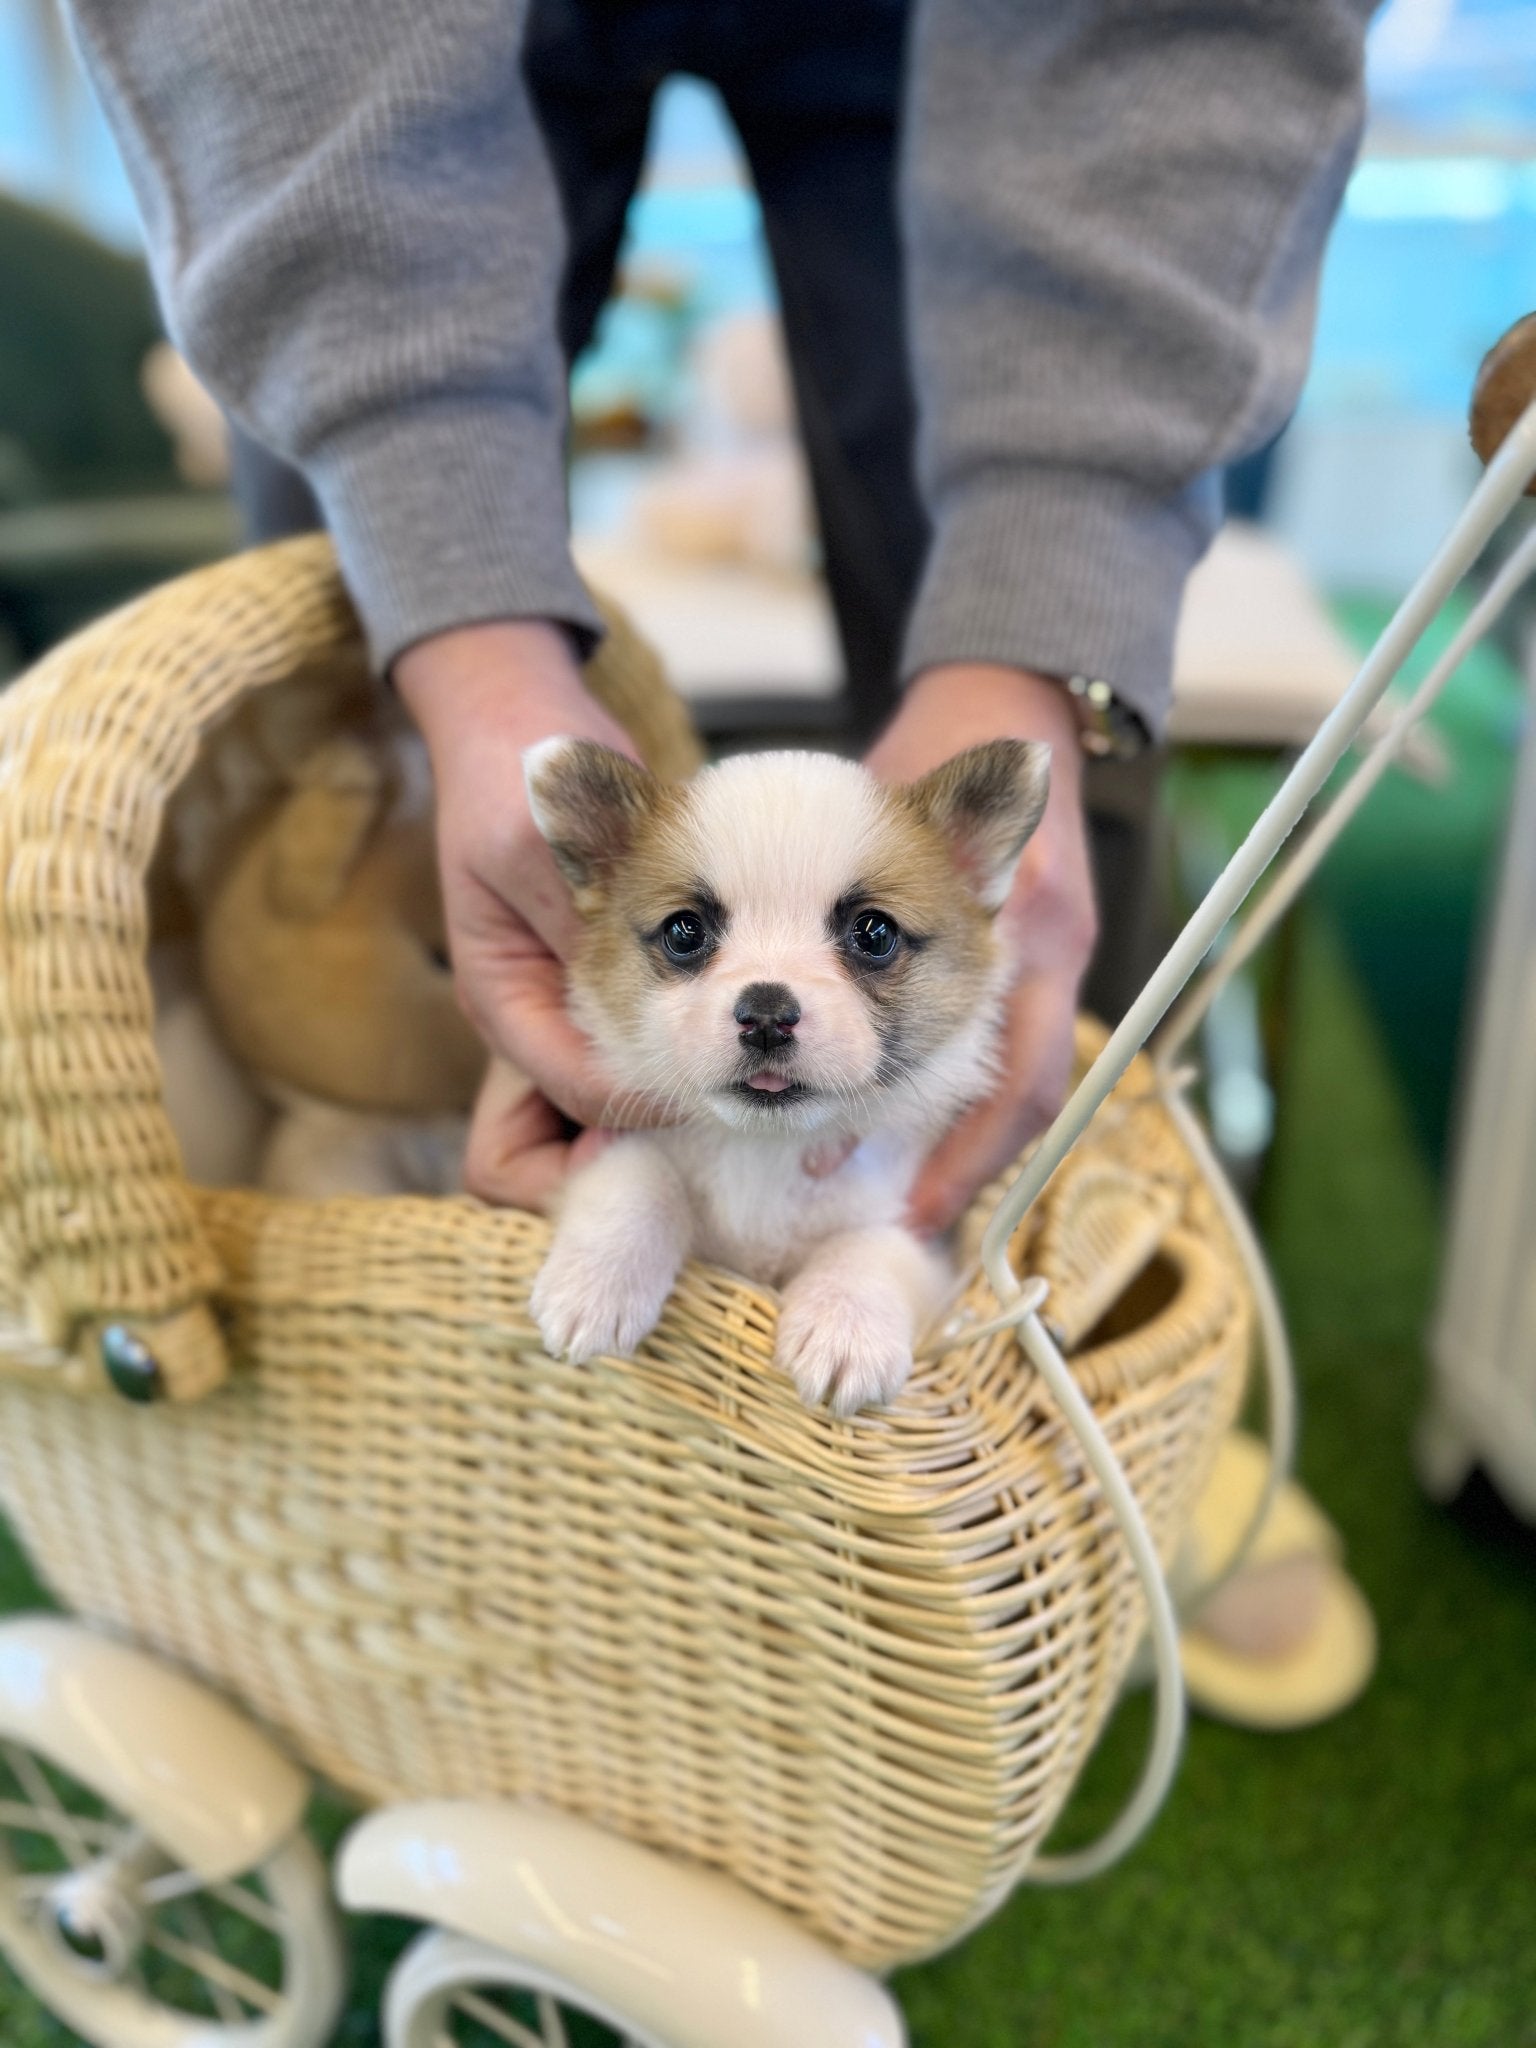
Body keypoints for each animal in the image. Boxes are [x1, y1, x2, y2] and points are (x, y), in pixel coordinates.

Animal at [528, 741, 1048, 1425]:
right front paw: (598, 1281)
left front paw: (845, 1326)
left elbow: (872, 1244)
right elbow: (639, 1175)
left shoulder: (927, 1236)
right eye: (684, 931)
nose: (768, 1014)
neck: (765, 1149)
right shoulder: (615, 1137)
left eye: (874, 932)